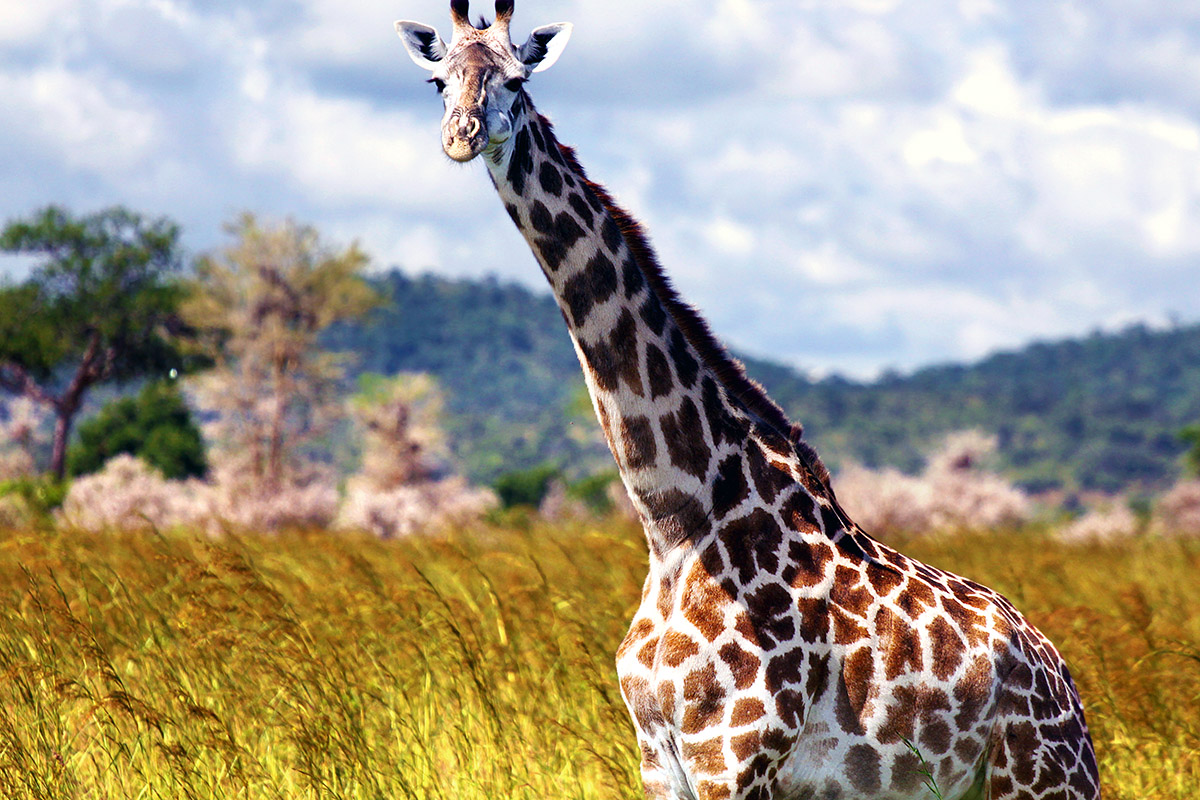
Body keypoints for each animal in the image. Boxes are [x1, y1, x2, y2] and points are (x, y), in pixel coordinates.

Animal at [393, 3, 1099, 796]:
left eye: (517, 78)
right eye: (438, 79)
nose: (462, 135)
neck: (674, 519)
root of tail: (1068, 689)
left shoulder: (734, 759)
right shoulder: (659, 762)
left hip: (1041, 781)